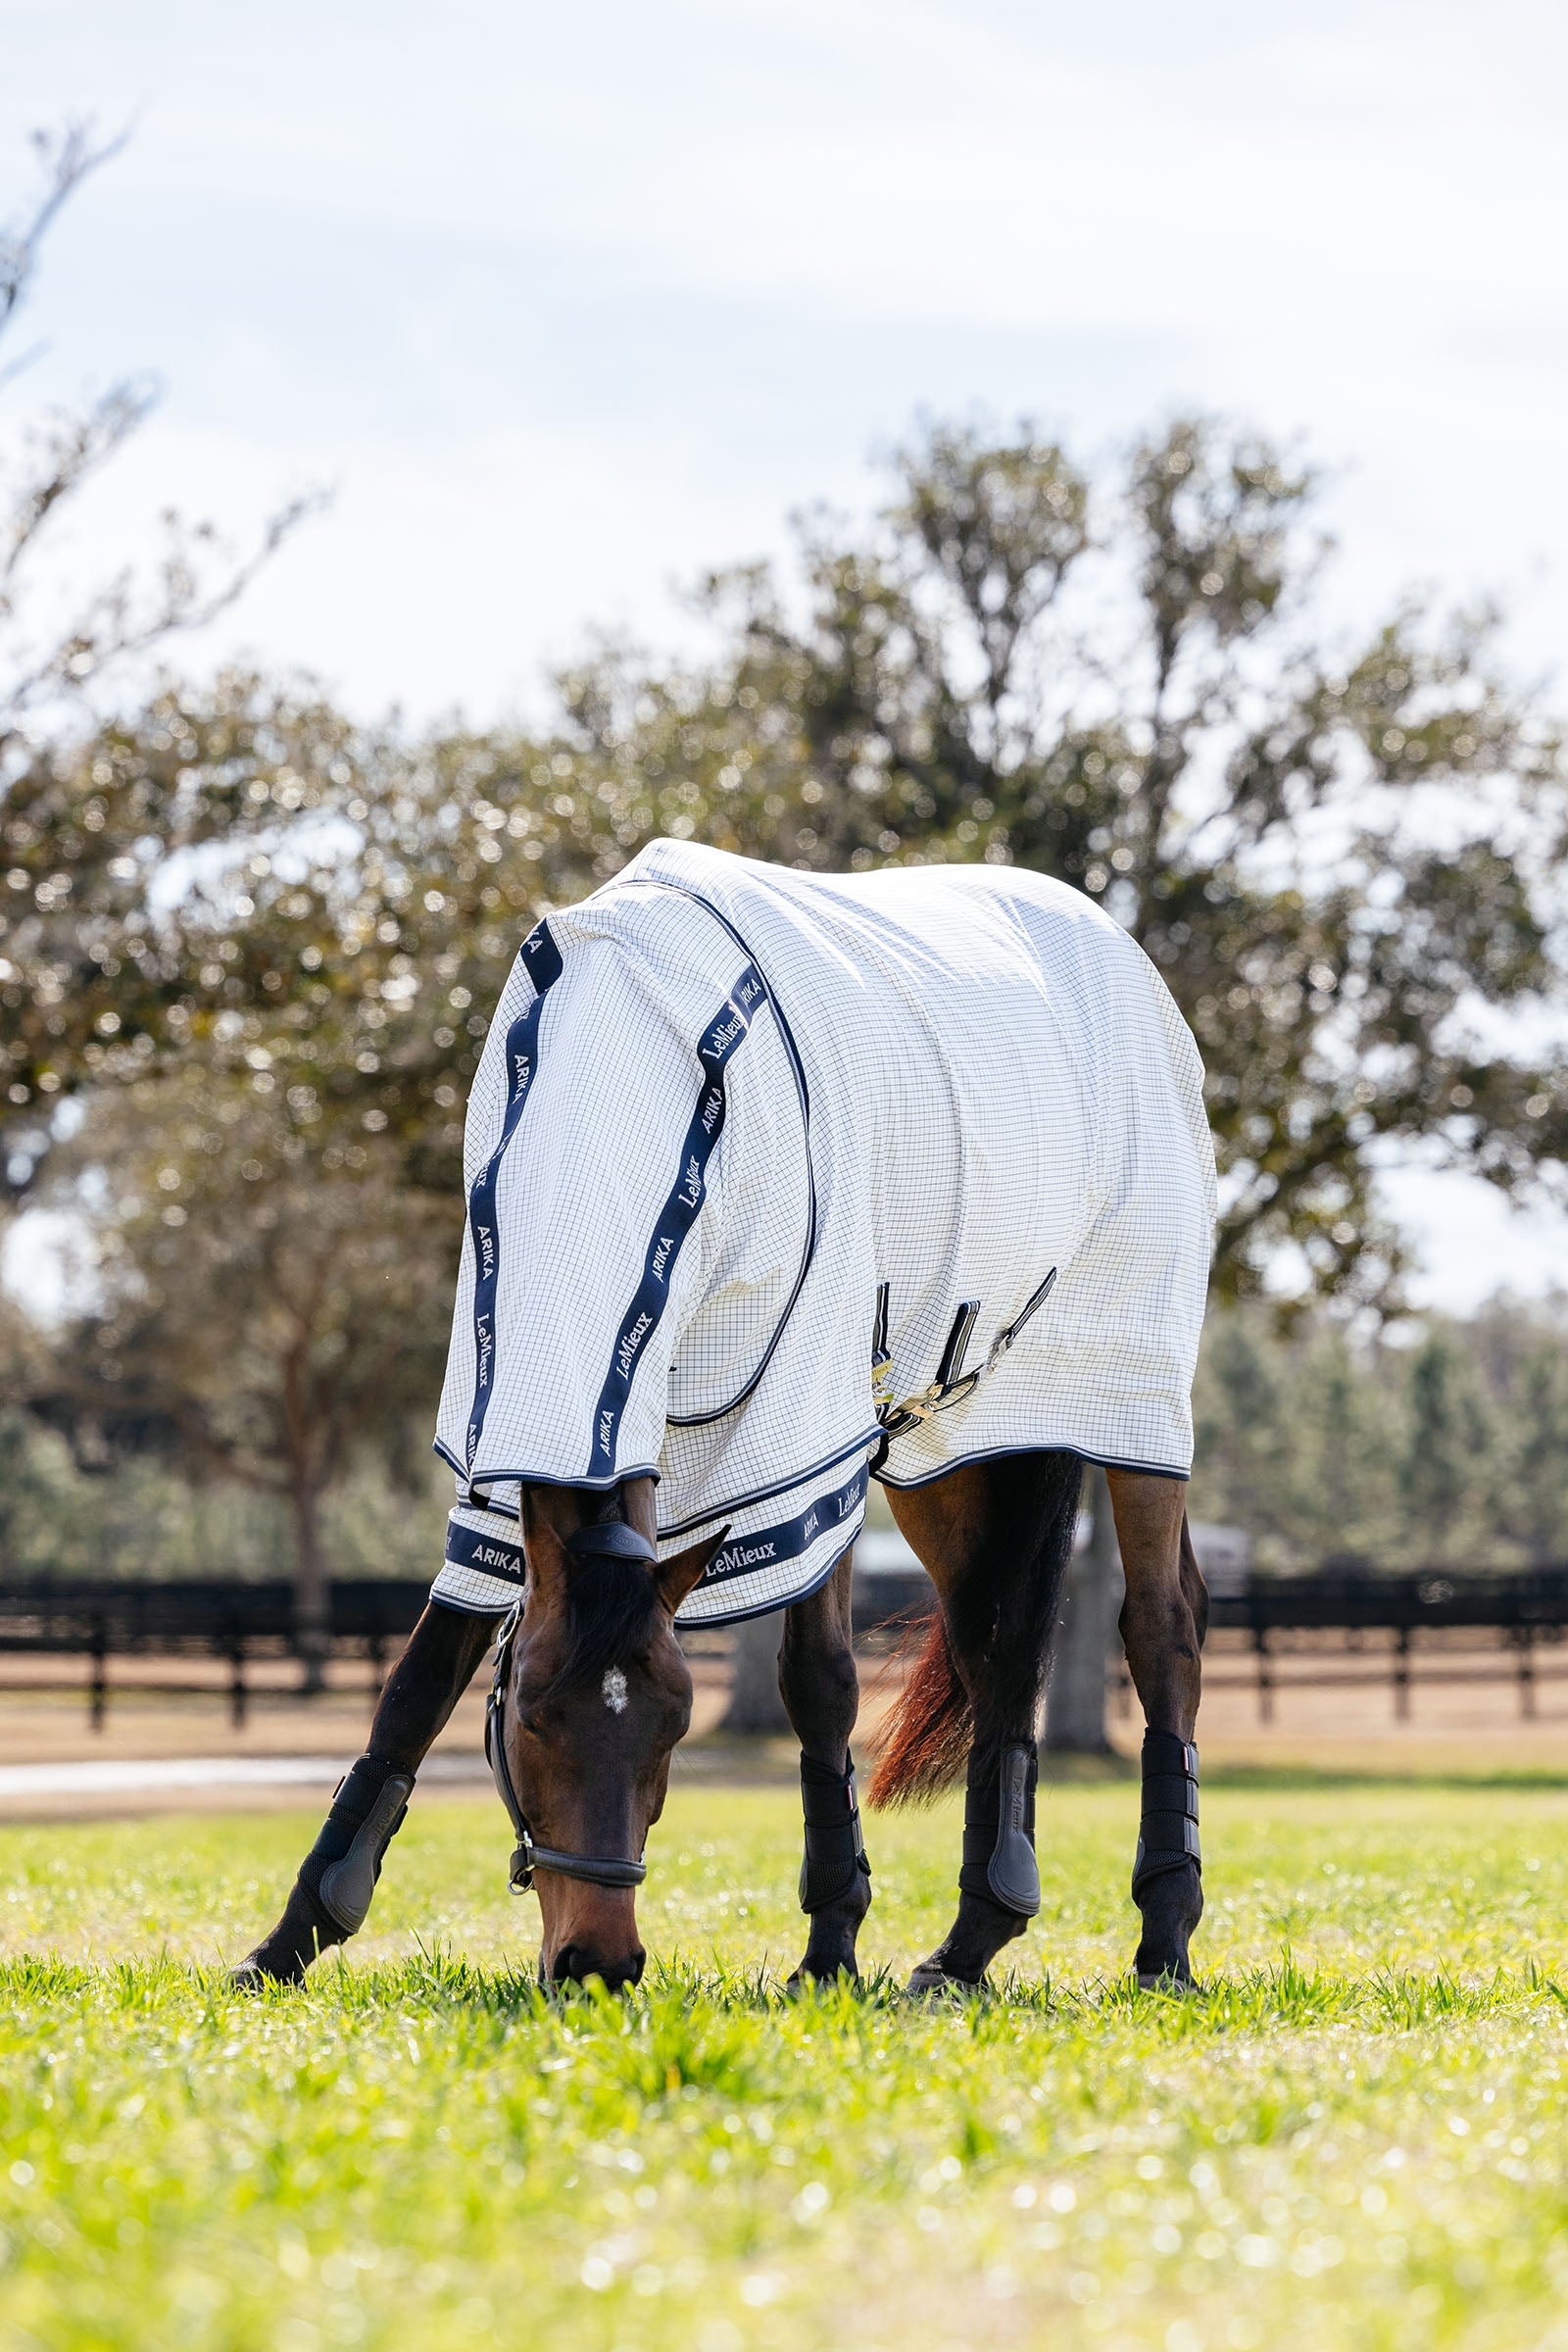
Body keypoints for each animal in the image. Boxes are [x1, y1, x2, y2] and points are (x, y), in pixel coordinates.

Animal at [235, 840, 1212, 1995]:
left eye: (674, 1728)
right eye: (532, 1716)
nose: (597, 1964)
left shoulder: (802, 1437)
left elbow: (820, 1682)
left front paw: (830, 1946)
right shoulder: (506, 1433)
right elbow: (420, 1680)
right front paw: (288, 1942)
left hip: (1126, 1401)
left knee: (1161, 1630)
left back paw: (1163, 1935)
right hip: (953, 1446)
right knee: (997, 1642)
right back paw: (974, 1939)